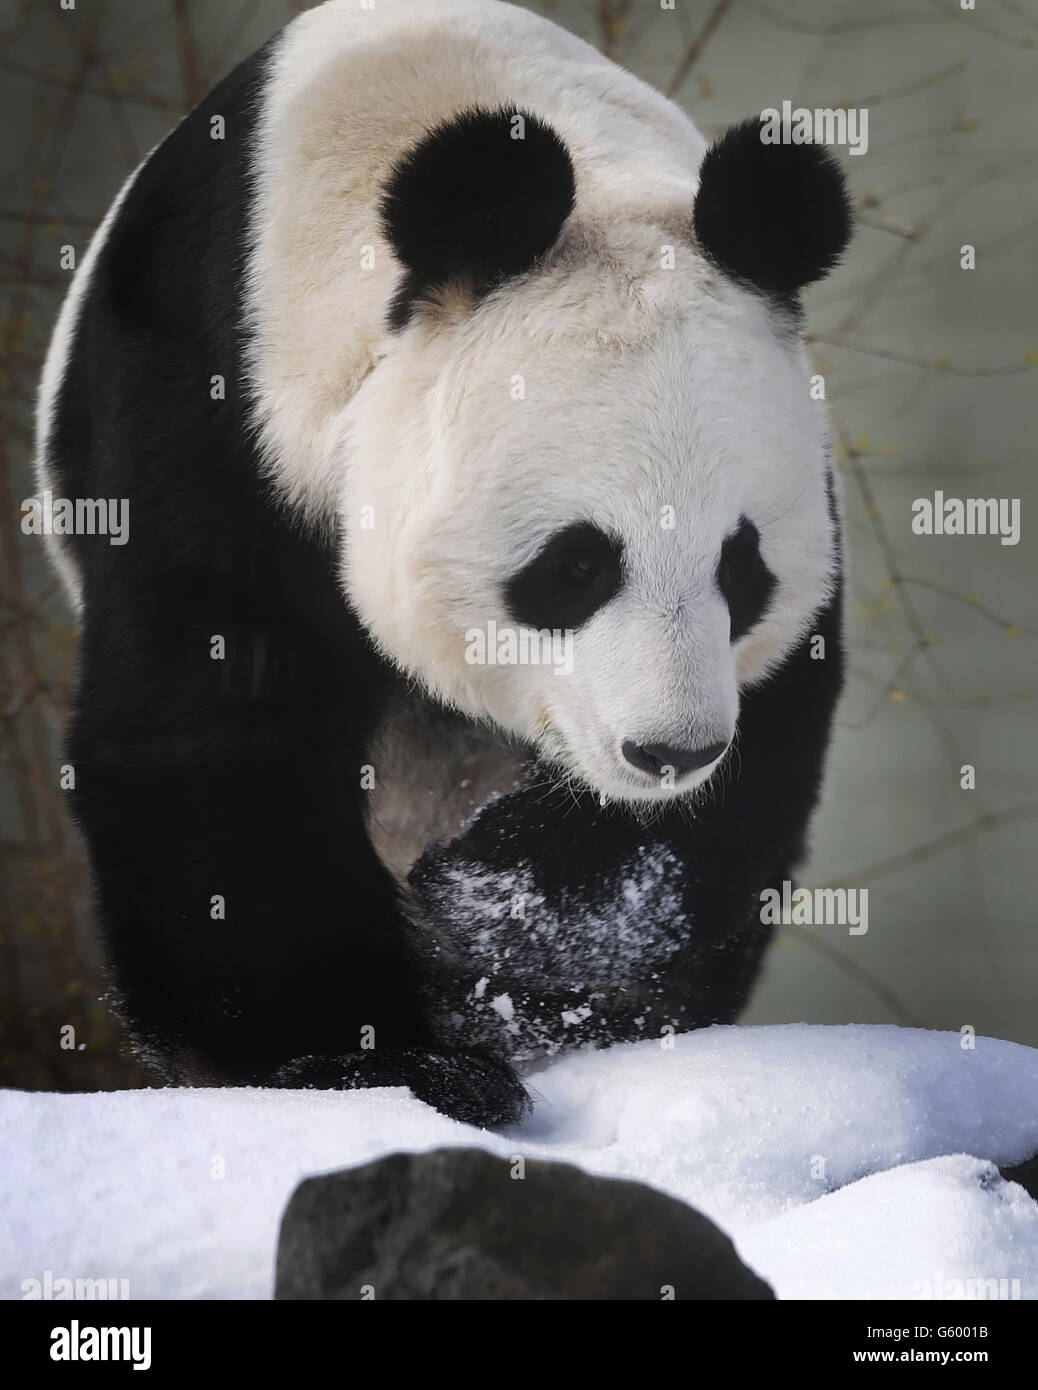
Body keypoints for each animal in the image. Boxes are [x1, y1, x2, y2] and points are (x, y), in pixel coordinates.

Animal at [36, 0, 855, 1128]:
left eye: (743, 569)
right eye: (576, 567)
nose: (668, 752)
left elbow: (756, 761)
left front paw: (483, 925)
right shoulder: (205, 404)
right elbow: (209, 739)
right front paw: (375, 1063)